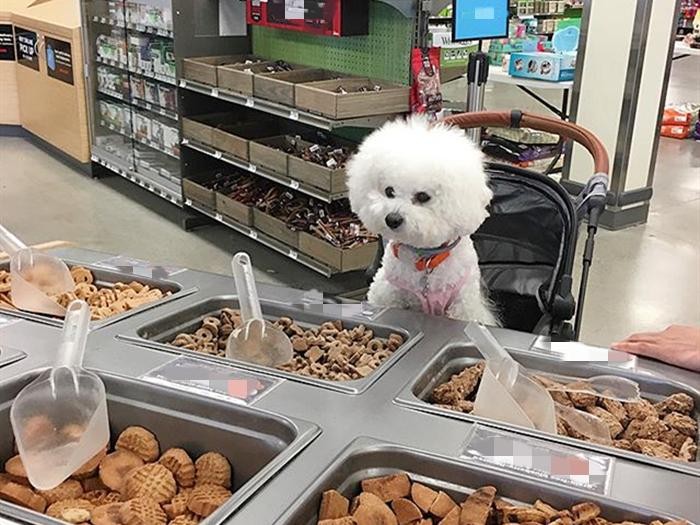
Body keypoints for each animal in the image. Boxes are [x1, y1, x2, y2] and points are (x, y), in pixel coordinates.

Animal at [348, 116, 498, 326]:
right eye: (389, 191)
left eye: (422, 196)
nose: (392, 219)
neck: (426, 259)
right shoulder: (388, 293)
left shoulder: (464, 305)